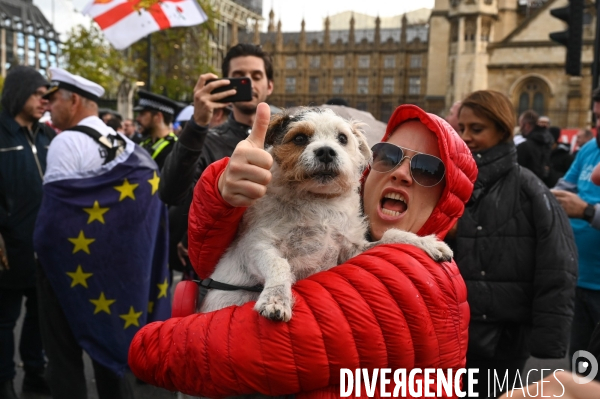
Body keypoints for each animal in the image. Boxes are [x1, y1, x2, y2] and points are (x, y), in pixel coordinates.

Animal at [202, 108, 450, 322]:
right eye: (300, 138)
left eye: (342, 138)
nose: (326, 151)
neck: (318, 202)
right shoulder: (256, 245)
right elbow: (279, 265)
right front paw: (275, 299)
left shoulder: (351, 251)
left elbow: (391, 235)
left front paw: (426, 242)